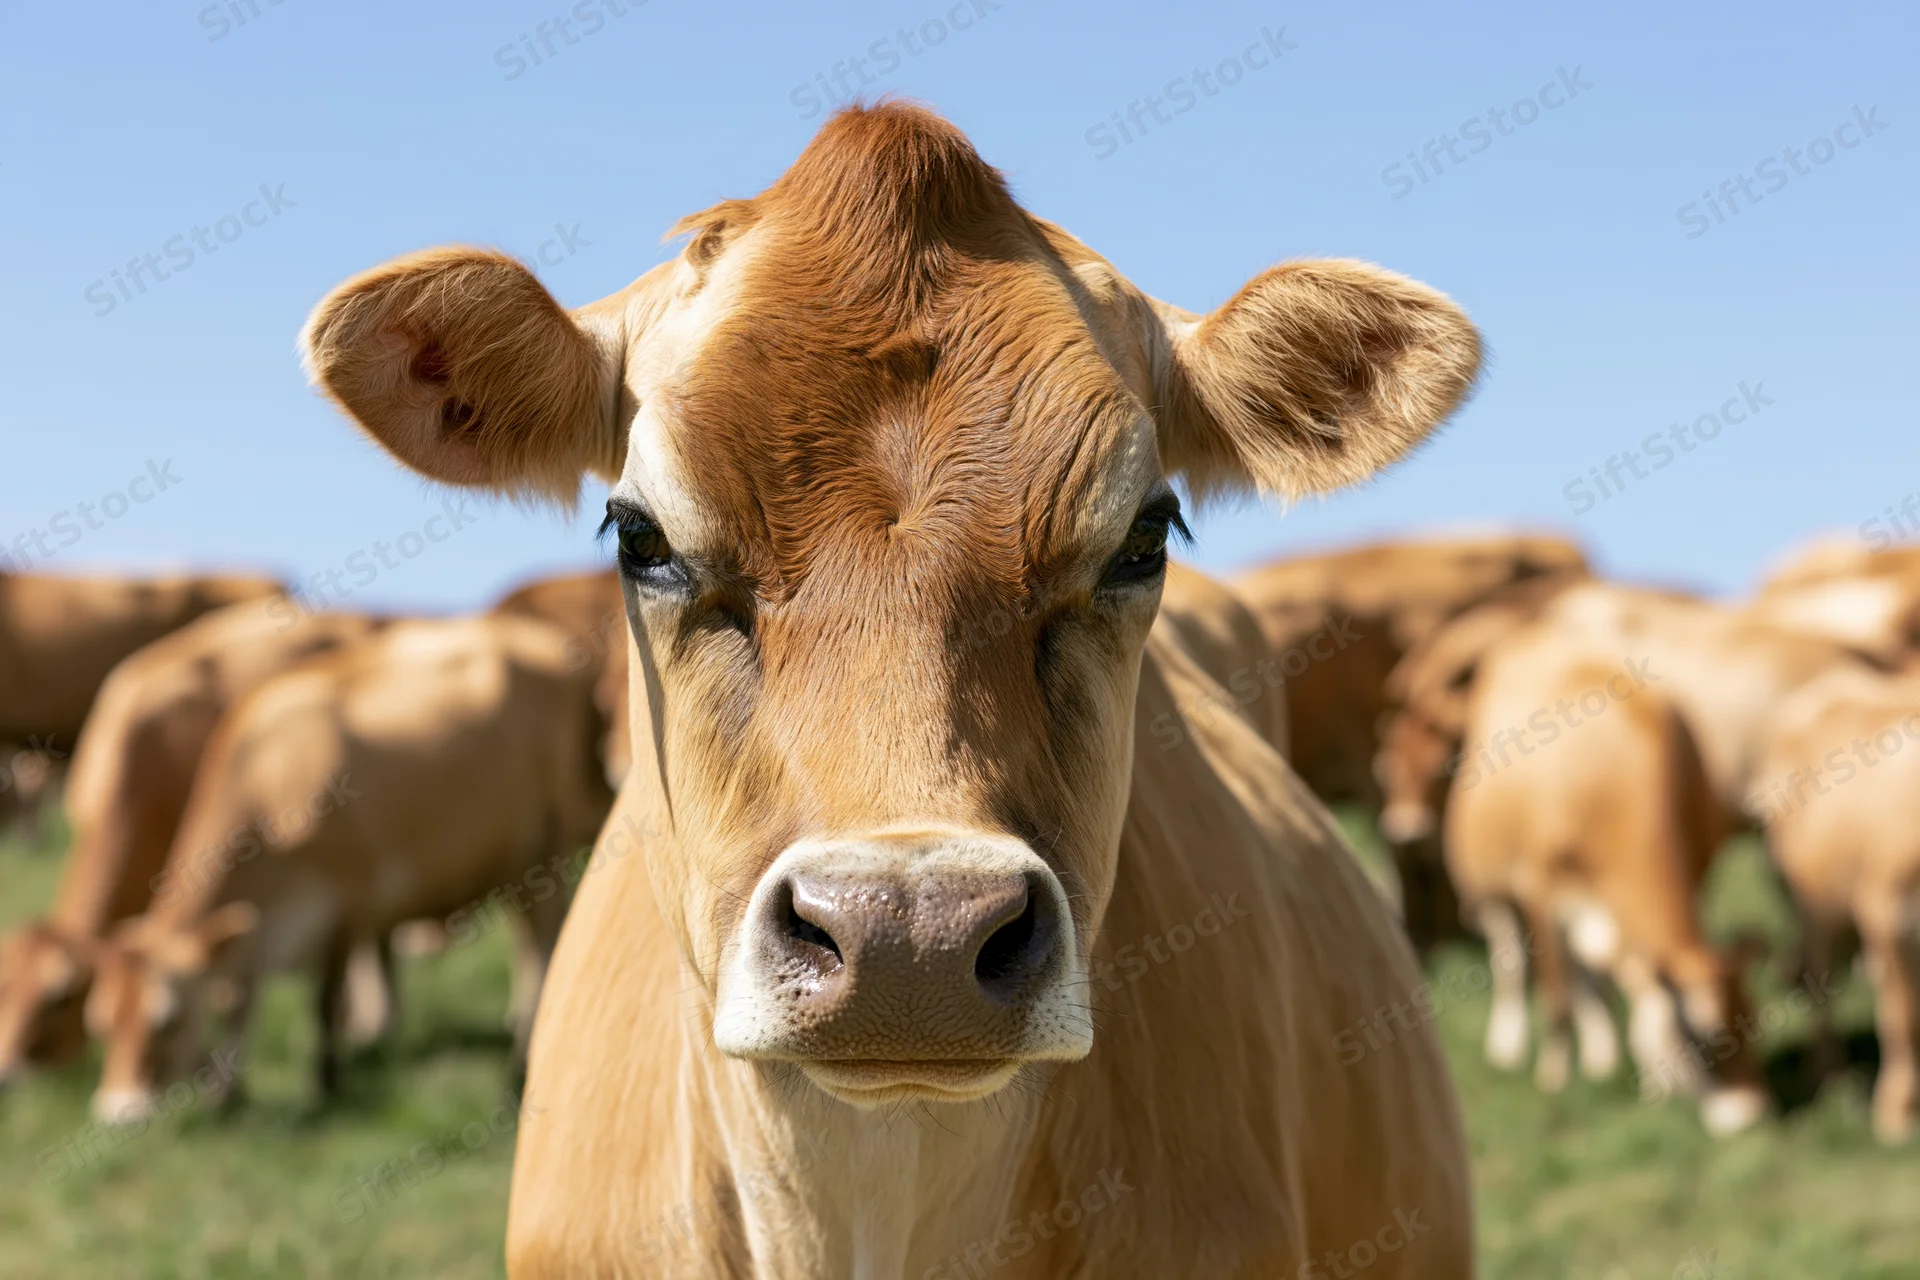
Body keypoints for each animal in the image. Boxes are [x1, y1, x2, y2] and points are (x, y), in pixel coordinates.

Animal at [85, 614, 613, 1122]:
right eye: (102, 1024)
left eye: (166, 1022)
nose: (119, 1115)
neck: (265, 780)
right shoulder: (256, 932)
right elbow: (239, 999)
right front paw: (226, 1095)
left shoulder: (348, 903)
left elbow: (325, 1003)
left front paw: (327, 1085)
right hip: (514, 861)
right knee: (529, 945)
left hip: (546, 844)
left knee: (545, 946)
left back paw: (522, 1057)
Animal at [1444, 634, 1770, 1134]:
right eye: (1705, 1040)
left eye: (1752, 1022)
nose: (1752, 1118)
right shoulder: (1538, 887)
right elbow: (1557, 997)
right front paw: (1553, 1077)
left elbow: (1637, 986)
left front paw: (1651, 1082)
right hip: (1487, 885)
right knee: (1511, 962)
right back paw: (1508, 1048)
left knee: (1587, 972)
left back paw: (1601, 1057)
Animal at [1753, 665, 1920, 1144]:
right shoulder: (1889, 912)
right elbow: (1903, 1015)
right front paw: (1896, 1114)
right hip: (1809, 901)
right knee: (1817, 978)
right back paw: (1826, 1078)